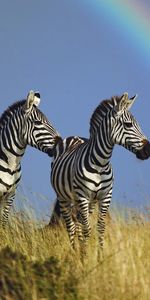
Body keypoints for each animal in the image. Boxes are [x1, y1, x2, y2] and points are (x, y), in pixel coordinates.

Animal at [51, 93, 150, 246]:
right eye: (128, 124)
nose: (148, 150)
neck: (100, 164)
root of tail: (74, 137)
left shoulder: (105, 196)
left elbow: (100, 228)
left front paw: (99, 252)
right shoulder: (83, 196)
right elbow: (87, 229)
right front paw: (85, 253)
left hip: (87, 202)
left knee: (78, 224)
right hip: (64, 197)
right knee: (71, 227)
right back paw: (75, 250)